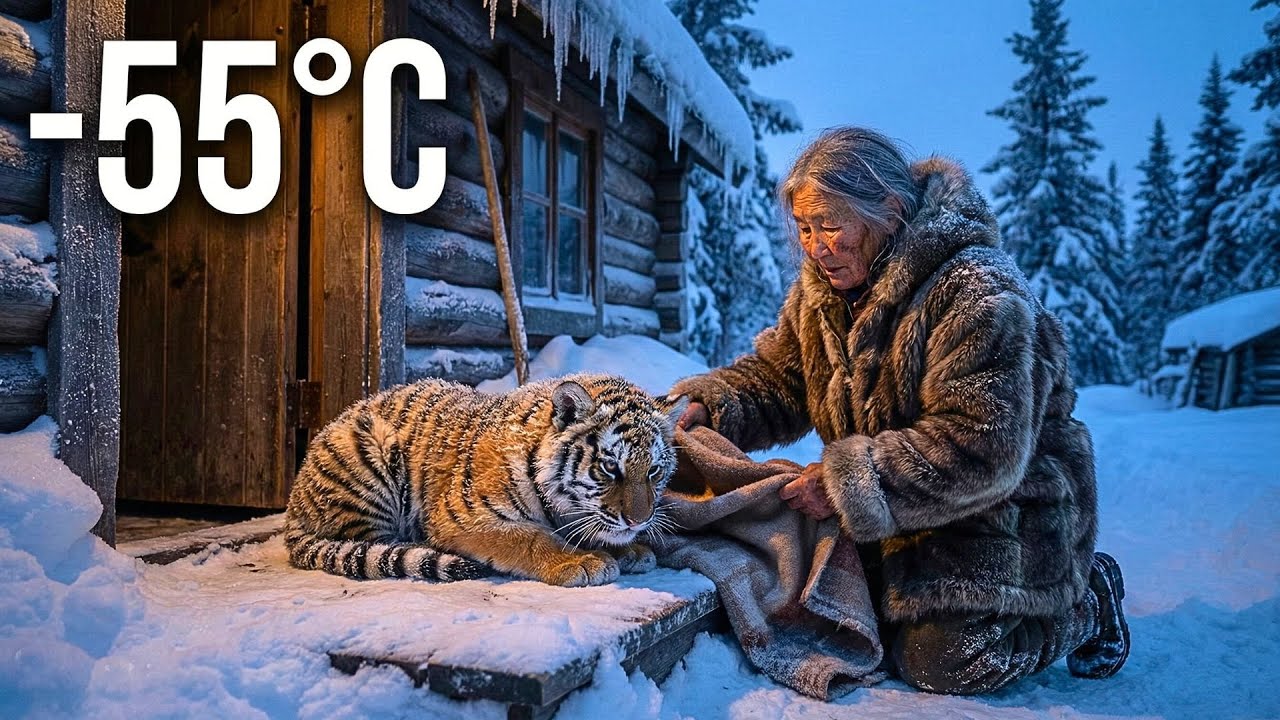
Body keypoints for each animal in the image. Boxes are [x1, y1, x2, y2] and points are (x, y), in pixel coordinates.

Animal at [283, 373, 688, 587]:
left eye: (653, 471)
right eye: (609, 468)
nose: (639, 521)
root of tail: (292, 504)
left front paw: (630, 549)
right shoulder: (464, 516)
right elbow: (529, 538)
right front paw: (581, 561)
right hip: (367, 455)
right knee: (369, 544)